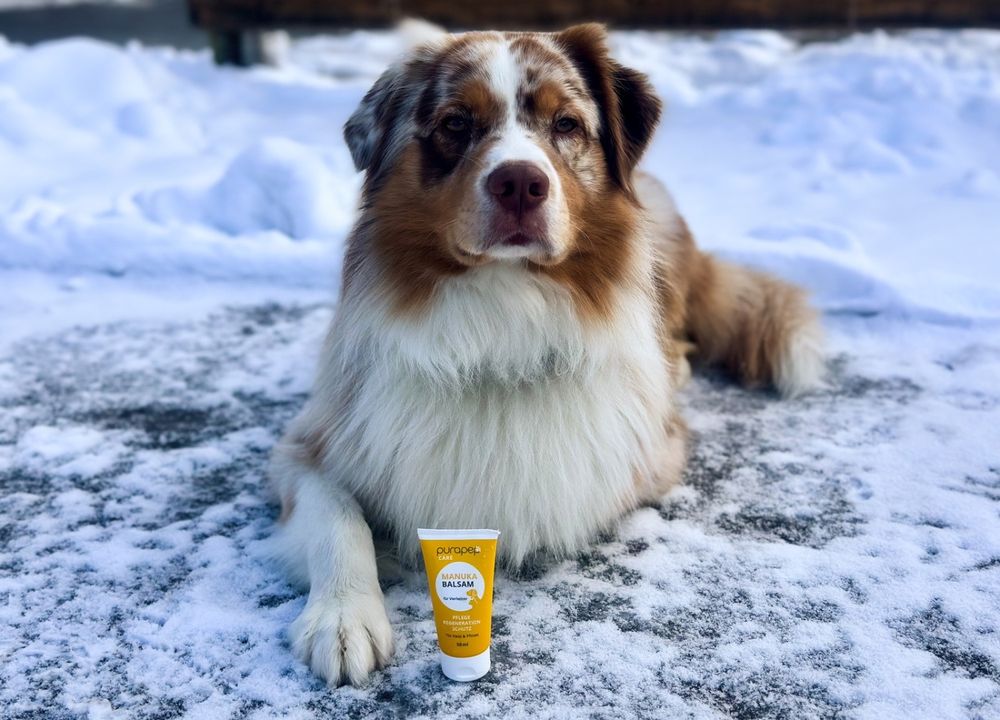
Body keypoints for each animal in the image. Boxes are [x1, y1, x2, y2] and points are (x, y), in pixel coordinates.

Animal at [268, 22, 820, 688]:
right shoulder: (309, 443)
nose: (520, 184)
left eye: (566, 123)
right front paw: (344, 617)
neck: (501, 318)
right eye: (456, 123)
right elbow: (337, 515)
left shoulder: (646, 452)